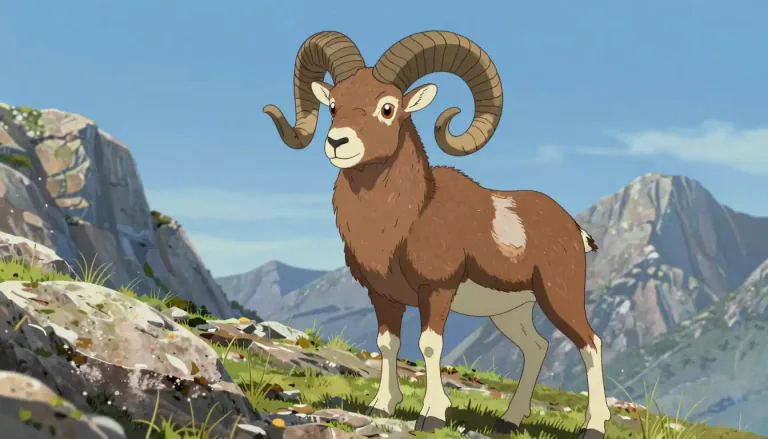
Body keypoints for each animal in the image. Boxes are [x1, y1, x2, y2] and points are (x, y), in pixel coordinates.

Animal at [263, 30, 610, 438]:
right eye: (333, 105)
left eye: (387, 108)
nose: (337, 143)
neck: (405, 219)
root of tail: (573, 230)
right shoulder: (384, 297)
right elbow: (387, 344)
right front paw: (382, 405)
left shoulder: (437, 290)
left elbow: (429, 345)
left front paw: (431, 415)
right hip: (511, 313)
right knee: (536, 348)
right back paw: (509, 421)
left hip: (559, 297)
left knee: (591, 344)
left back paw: (594, 427)